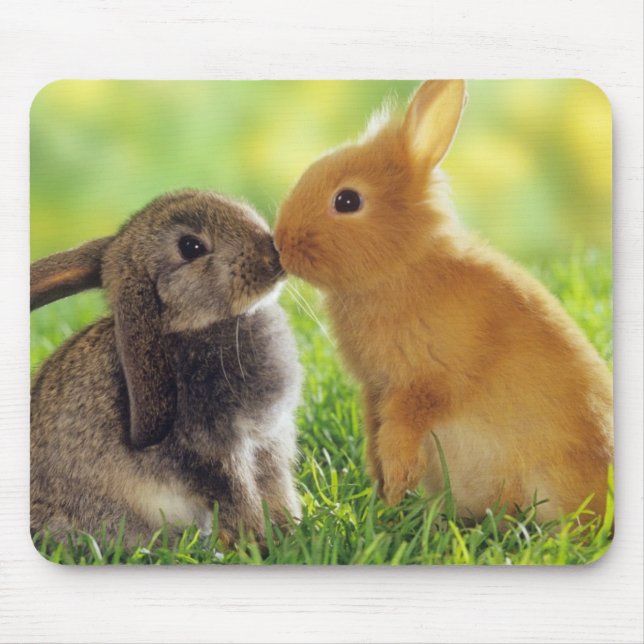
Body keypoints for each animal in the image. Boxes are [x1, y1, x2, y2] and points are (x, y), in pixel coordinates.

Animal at [31, 189, 302, 547]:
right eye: (191, 247)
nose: (273, 256)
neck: (187, 326)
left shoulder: (268, 441)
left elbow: (276, 489)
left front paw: (291, 531)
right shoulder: (211, 450)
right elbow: (237, 496)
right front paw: (259, 541)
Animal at [274, 80, 613, 522]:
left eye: (347, 201)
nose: (279, 244)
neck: (403, 266)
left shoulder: (423, 385)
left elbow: (400, 434)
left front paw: (395, 489)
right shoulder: (375, 389)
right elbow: (375, 434)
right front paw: (383, 492)